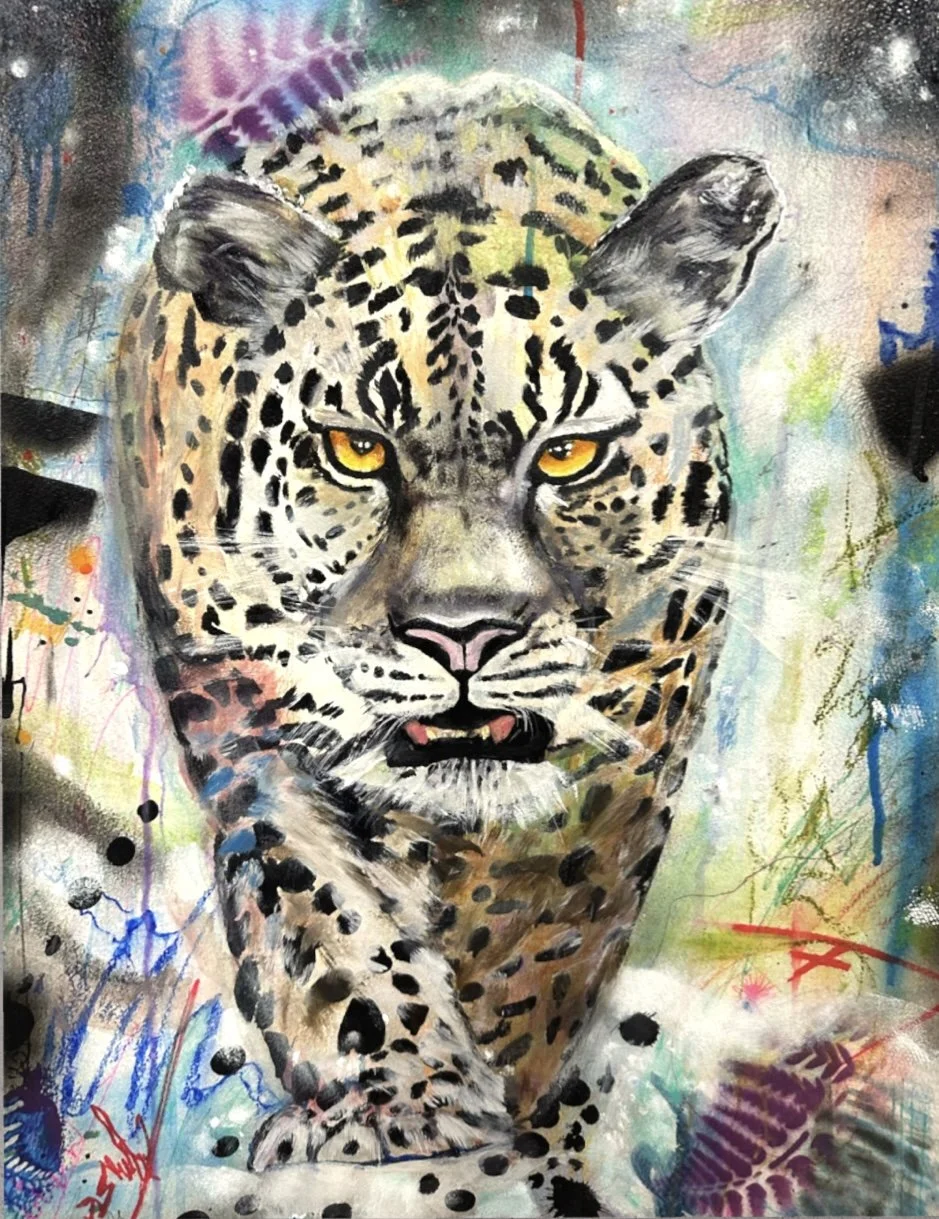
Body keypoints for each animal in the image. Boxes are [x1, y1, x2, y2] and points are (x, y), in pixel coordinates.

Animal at [114, 70, 779, 1214]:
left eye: (567, 455)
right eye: (353, 449)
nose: (461, 632)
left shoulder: (643, 713)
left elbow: (552, 919)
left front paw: (512, 1109)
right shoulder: (241, 710)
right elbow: (324, 915)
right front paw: (404, 1105)